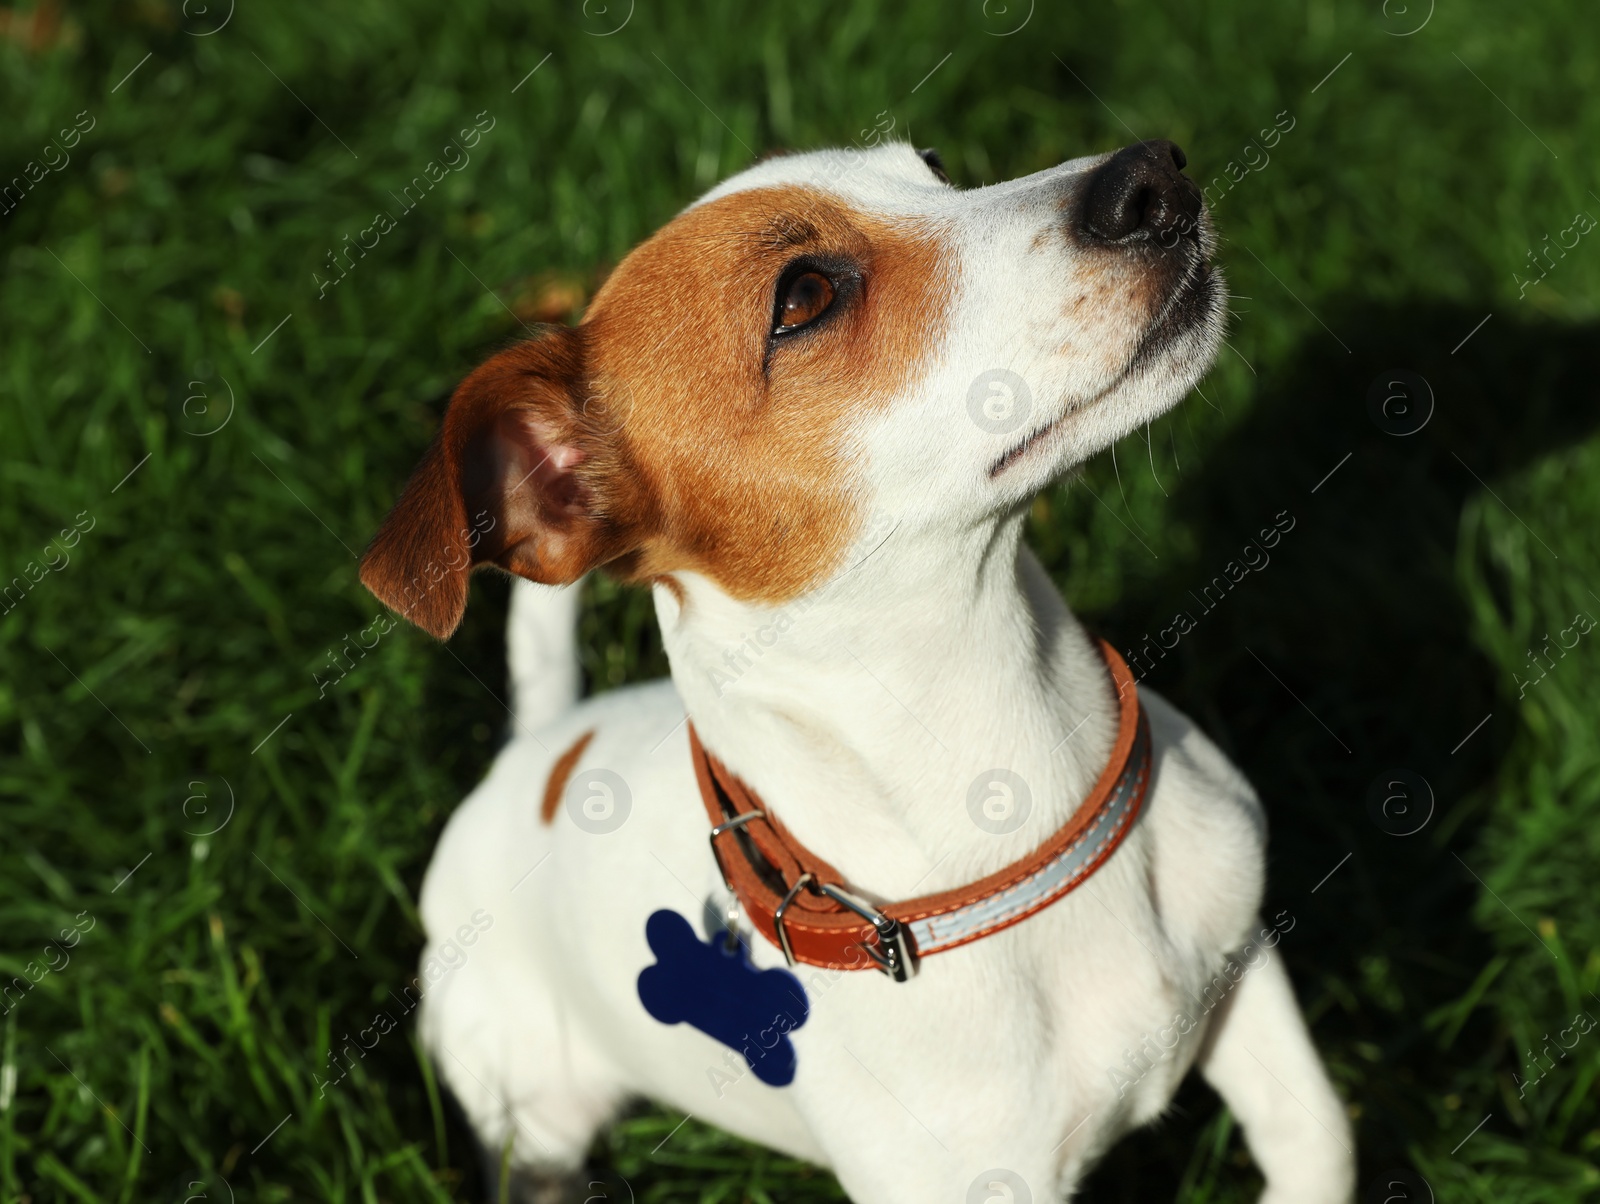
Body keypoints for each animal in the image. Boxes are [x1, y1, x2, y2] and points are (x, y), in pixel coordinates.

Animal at [366, 136, 1363, 1197]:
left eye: (936, 167)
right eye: (803, 295)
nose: (1152, 174)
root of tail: (535, 747)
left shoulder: (1244, 968)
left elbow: (1317, 1141)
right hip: (527, 1112)